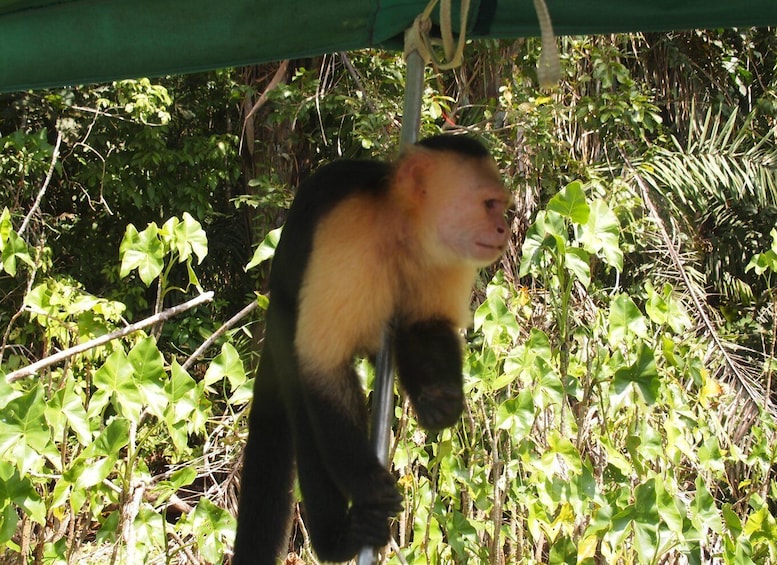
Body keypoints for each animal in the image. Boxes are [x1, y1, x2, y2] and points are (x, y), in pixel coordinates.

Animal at [233, 134, 512, 560]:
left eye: (502, 206)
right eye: (488, 204)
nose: (503, 228)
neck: (402, 229)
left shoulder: (449, 257)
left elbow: (426, 325)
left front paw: (440, 399)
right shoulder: (348, 234)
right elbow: (323, 363)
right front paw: (367, 483)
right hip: (281, 326)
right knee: (306, 409)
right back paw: (338, 539)